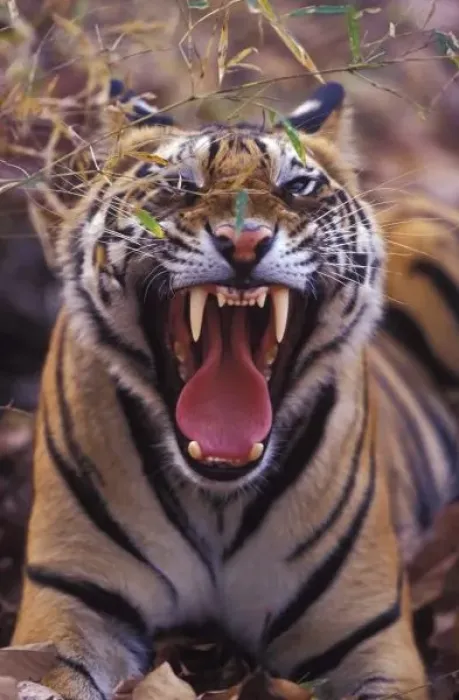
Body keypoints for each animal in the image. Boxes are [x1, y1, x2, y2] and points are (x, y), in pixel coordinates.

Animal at [11, 79, 459, 700]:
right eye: (181, 183)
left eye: (296, 187)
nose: (243, 241)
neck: (217, 500)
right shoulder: (73, 603)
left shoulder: (367, 635)